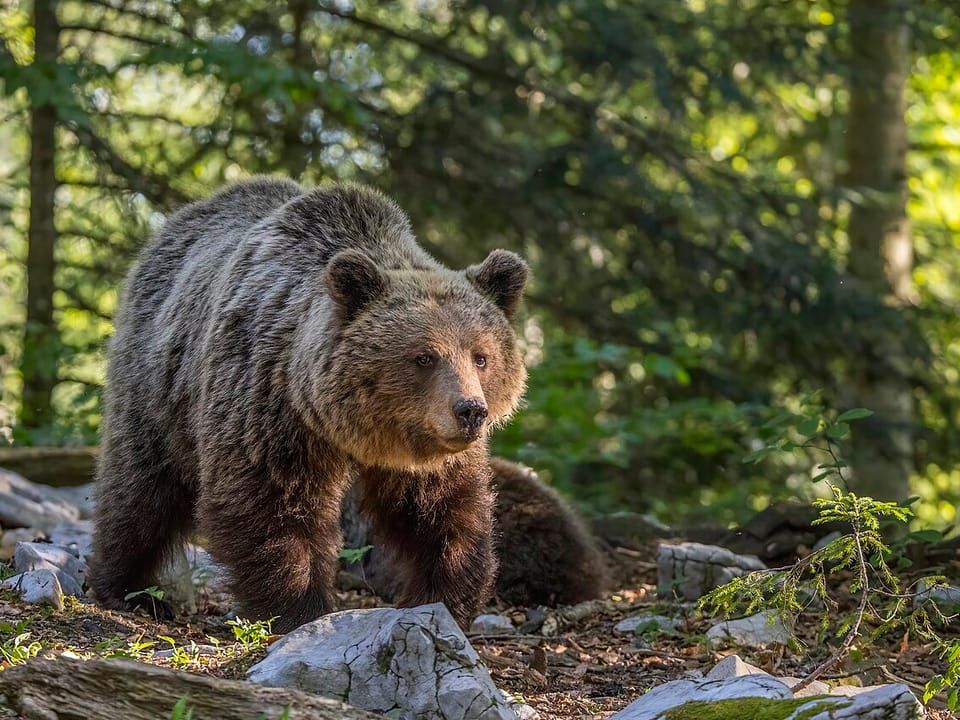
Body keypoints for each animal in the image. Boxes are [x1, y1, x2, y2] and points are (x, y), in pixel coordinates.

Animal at [89, 177, 529, 632]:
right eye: (424, 357)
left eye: (481, 356)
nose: (470, 410)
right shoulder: (268, 404)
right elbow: (271, 503)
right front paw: (299, 607)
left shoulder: (426, 451)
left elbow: (442, 513)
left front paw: (443, 598)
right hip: (159, 381)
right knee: (141, 487)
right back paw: (129, 589)